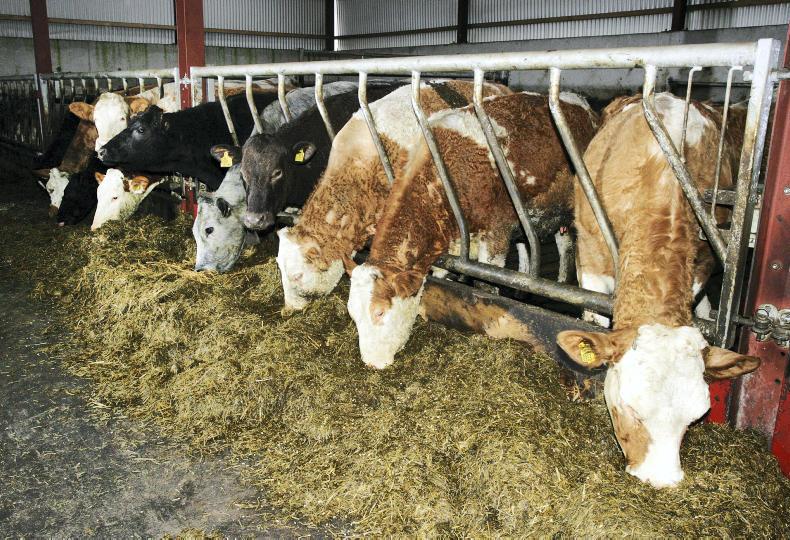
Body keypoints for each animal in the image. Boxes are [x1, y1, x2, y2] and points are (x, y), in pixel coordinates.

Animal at [345, 92, 597, 369]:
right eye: (352, 313)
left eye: (379, 312)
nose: (371, 362)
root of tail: (579, 101)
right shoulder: (456, 242)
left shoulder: (496, 230)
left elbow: (487, 286)